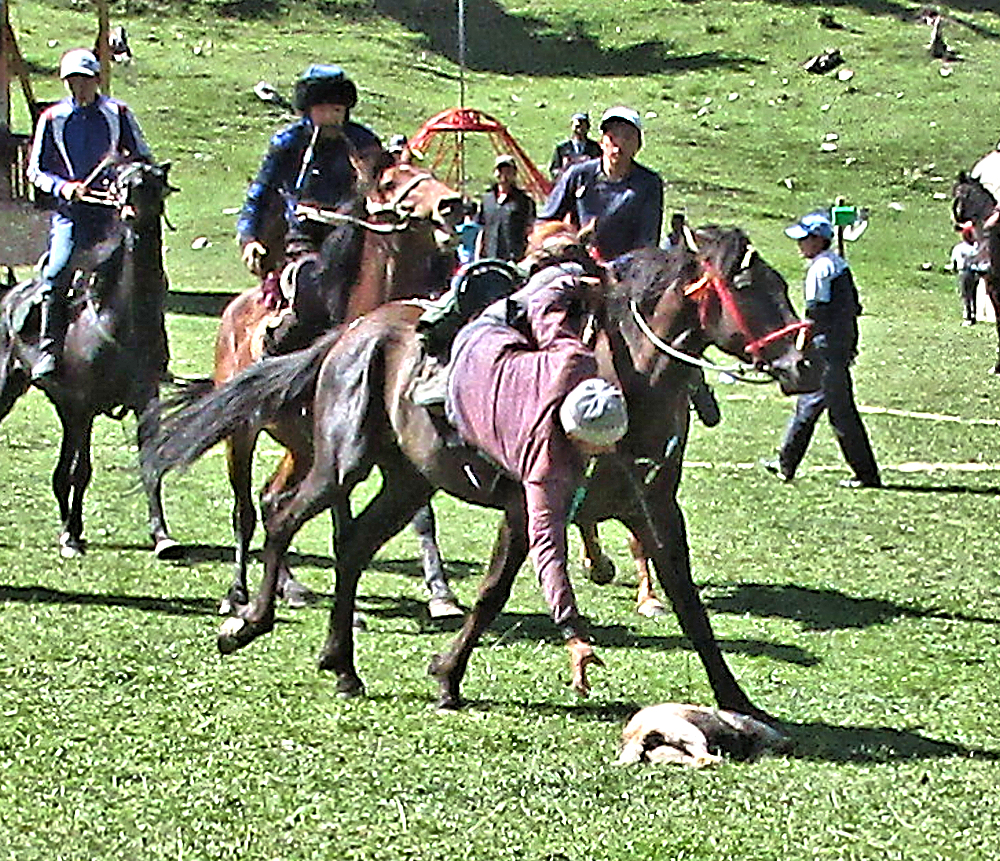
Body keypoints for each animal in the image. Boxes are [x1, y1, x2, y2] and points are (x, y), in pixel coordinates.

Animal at [0, 161, 178, 556]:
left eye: (153, 181)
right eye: (121, 181)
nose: (133, 211)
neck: (123, 320)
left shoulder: (145, 402)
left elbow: (150, 465)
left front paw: (162, 536)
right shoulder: (85, 406)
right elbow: (81, 472)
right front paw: (70, 536)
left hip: (64, 409)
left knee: (60, 473)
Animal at [146, 227, 820, 720]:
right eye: (749, 284)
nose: (805, 363)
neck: (621, 378)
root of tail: (349, 333)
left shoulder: (654, 508)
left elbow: (688, 601)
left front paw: (738, 700)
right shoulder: (530, 505)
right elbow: (494, 591)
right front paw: (448, 676)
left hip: (407, 480)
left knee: (353, 543)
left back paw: (342, 664)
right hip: (339, 462)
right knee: (281, 513)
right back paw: (248, 624)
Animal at [210, 155, 464, 612]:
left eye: (430, 173)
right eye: (389, 182)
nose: (451, 204)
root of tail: (234, 312)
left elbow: (420, 516)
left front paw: (441, 592)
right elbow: (341, 521)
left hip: (299, 448)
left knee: (271, 498)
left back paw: (287, 585)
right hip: (243, 435)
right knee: (245, 509)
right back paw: (238, 593)